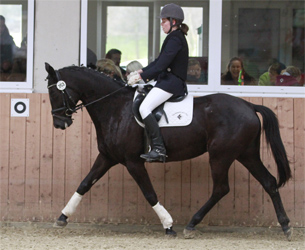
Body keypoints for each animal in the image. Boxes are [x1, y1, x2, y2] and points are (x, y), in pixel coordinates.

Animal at [45, 63, 292, 240]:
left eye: (55, 94)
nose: (59, 123)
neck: (116, 108)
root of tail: (250, 105)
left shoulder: (133, 162)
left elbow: (149, 193)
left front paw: (168, 225)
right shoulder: (107, 157)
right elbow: (85, 183)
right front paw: (62, 217)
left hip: (221, 156)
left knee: (221, 188)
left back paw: (191, 224)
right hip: (246, 154)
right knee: (269, 182)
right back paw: (286, 225)